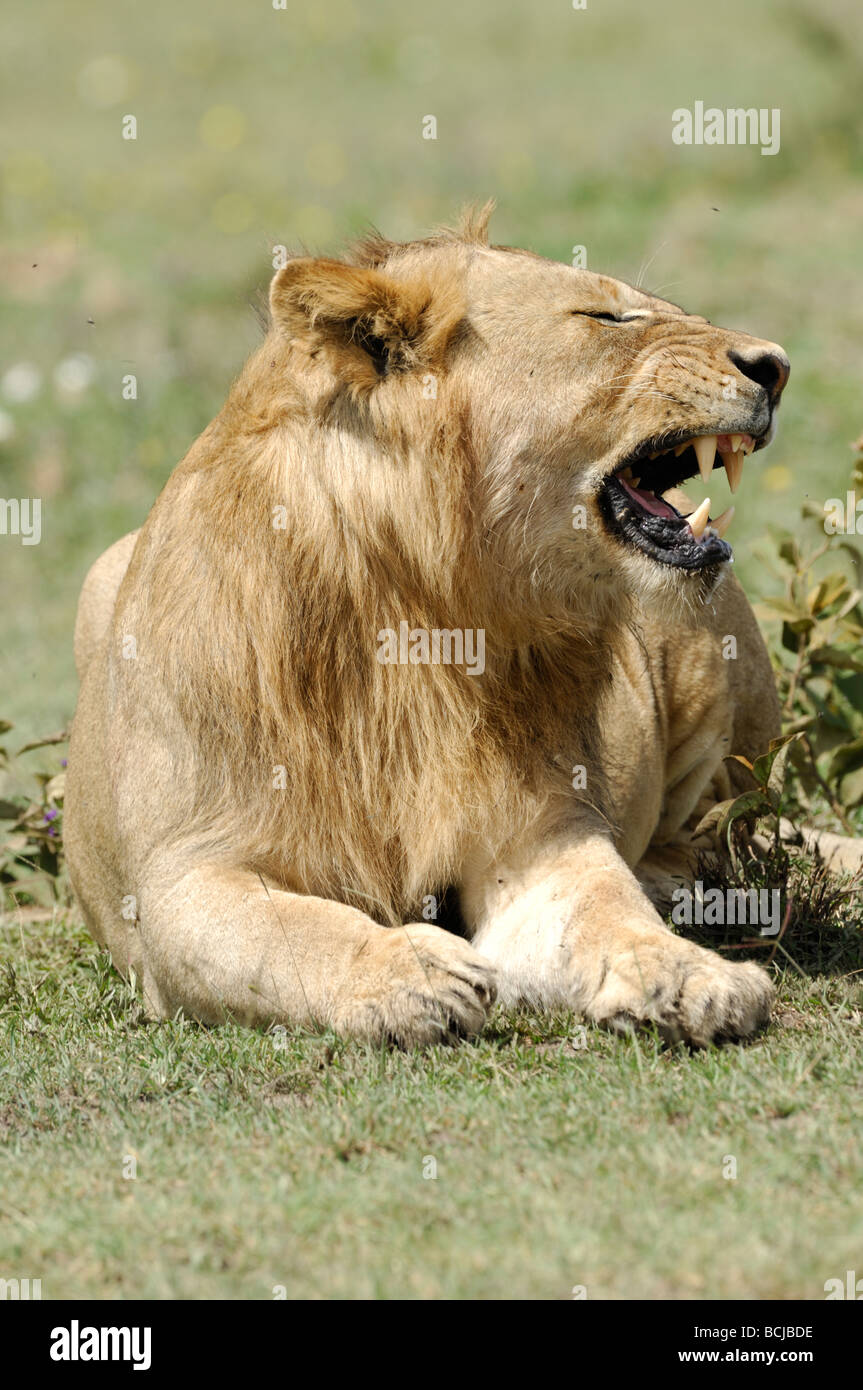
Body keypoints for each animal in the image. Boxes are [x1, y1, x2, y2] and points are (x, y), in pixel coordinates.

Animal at [63, 202, 817, 1045]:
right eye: (606, 316)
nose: (776, 366)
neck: (422, 608)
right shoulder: (180, 877)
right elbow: (291, 934)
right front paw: (409, 972)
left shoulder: (538, 837)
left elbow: (605, 909)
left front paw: (691, 976)